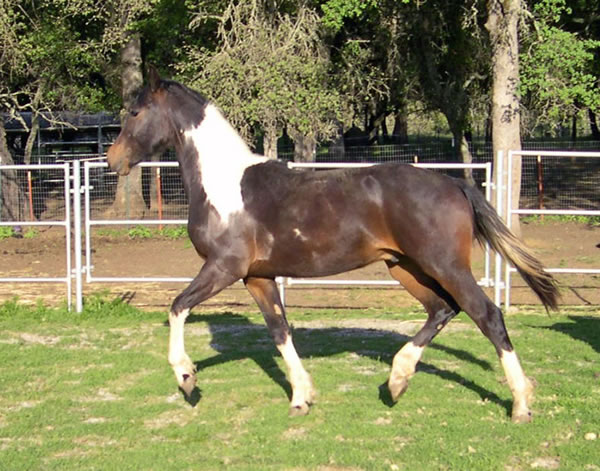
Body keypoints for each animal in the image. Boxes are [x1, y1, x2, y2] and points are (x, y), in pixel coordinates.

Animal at [106, 67, 556, 424]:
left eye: (135, 112)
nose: (112, 160)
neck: (223, 185)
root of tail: (454, 183)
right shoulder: (257, 278)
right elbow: (279, 331)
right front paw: (301, 398)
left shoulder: (223, 267)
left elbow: (177, 306)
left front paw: (186, 378)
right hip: (405, 267)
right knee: (443, 310)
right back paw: (397, 380)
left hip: (444, 265)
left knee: (486, 315)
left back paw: (520, 405)